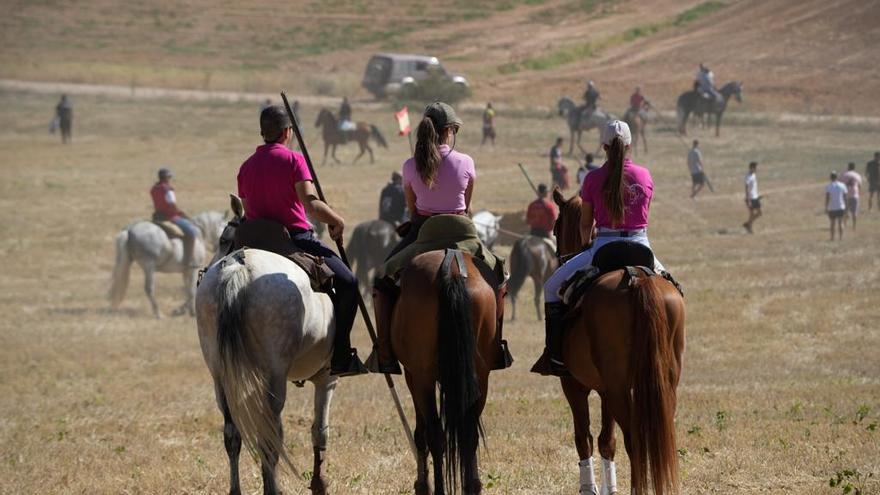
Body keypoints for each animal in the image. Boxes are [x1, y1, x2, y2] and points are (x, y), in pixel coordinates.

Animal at [195, 196, 336, 494]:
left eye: (223, 239)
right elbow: (320, 430)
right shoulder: (328, 377)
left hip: (220, 376)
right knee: (271, 436)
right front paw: (319, 483)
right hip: (275, 375)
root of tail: (238, 265)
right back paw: (273, 488)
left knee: (232, 433)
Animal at [394, 250, 498, 495]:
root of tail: (451, 270)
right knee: (469, 434)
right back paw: (472, 486)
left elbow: (421, 433)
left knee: (435, 435)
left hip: (423, 378)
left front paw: (422, 484)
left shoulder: (413, 376)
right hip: (480, 377)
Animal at [552, 189, 688, 495]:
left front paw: (589, 488)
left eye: (555, 227)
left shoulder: (574, 385)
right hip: (662, 383)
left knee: (634, 440)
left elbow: (584, 437)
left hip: (618, 388)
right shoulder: (604, 390)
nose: (559, 257)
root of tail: (635, 276)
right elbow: (606, 440)